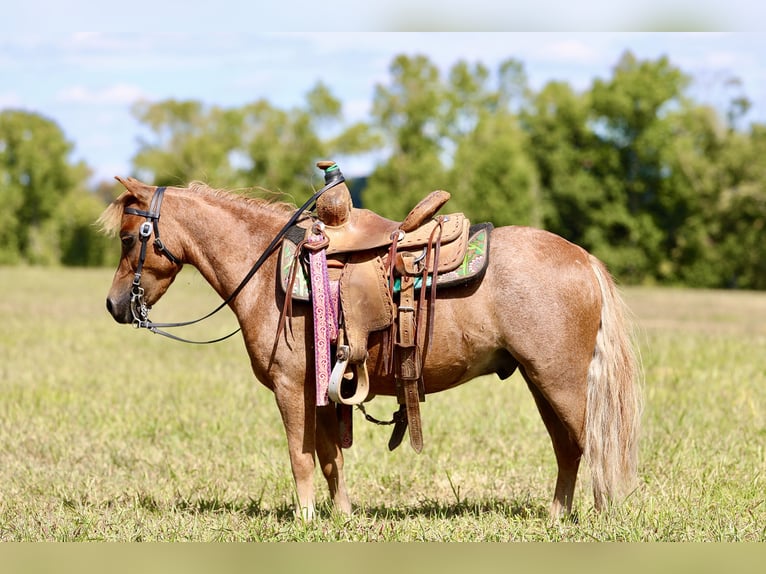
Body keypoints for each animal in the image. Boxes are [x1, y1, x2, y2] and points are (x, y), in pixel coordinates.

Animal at [98, 175, 642, 521]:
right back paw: (557, 517)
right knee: (568, 447)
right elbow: (330, 457)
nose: (114, 305)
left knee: (588, 443)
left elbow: (300, 456)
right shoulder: (321, 389)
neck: (269, 267)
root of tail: (584, 258)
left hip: (559, 381)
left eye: (128, 238)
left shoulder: (289, 388)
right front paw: (340, 517)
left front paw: (307, 519)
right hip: (541, 381)